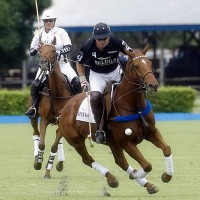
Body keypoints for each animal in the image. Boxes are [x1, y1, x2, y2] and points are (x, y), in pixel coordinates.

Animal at [28, 37, 73, 178]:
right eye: (40, 51)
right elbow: (42, 144)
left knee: (59, 140)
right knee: (35, 133)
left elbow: (54, 146)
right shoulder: (44, 119)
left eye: (53, 50)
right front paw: (38, 163)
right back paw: (36, 158)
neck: (56, 92)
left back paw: (60, 163)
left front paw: (48, 170)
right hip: (33, 116)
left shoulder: (61, 121)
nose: (43, 63)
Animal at [57, 44, 173, 195]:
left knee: (121, 162)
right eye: (136, 66)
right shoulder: (126, 141)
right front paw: (135, 174)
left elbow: (167, 149)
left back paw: (148, 185)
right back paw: (112, 178)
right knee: (87, 159)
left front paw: (166, 176)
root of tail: (66, 105)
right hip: (75, 140)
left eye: (150, 63)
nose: (153, 85)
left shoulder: (151, 132)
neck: (134, 107)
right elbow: (147, 165)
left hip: (112, 142)